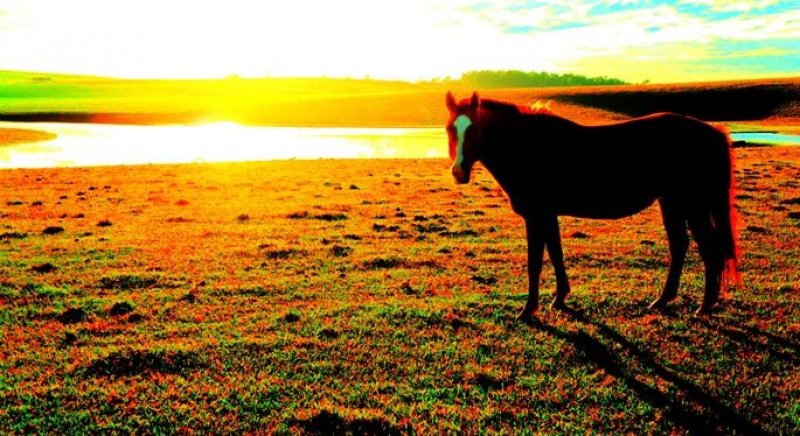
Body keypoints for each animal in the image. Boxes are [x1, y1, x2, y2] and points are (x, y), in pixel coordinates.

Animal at [444, 91, 736, 320]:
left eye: (474, 128)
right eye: (450, 129)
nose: (458, 172)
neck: (530, 147)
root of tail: (713, 133)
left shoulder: (536, 215)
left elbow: (535, 261)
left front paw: (528, 310)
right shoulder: (548, 215)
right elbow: (555, 253)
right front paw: (559, 298)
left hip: (694, 205)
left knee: (709, 249)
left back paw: (704, 306)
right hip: (672, 202)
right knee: (680, 245)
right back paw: (663, 300)